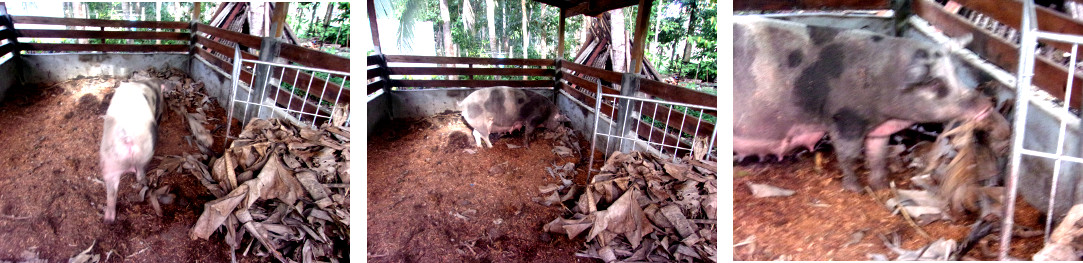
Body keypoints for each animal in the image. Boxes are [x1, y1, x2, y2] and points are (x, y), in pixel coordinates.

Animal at [99, 80, 163, 221]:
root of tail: (126, 136)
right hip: (145, 153)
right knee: (140, 173)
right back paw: (145, 181)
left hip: (110, 160)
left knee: (111, 190)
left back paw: (109, 219)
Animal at [732, 16, 992, 191]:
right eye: (936, 83)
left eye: (956, 73)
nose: (986, 105)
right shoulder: (845, 119)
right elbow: (849, 156)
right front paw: (855, 189)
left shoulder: (879, 129)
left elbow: (877, 156)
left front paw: (881, 187)